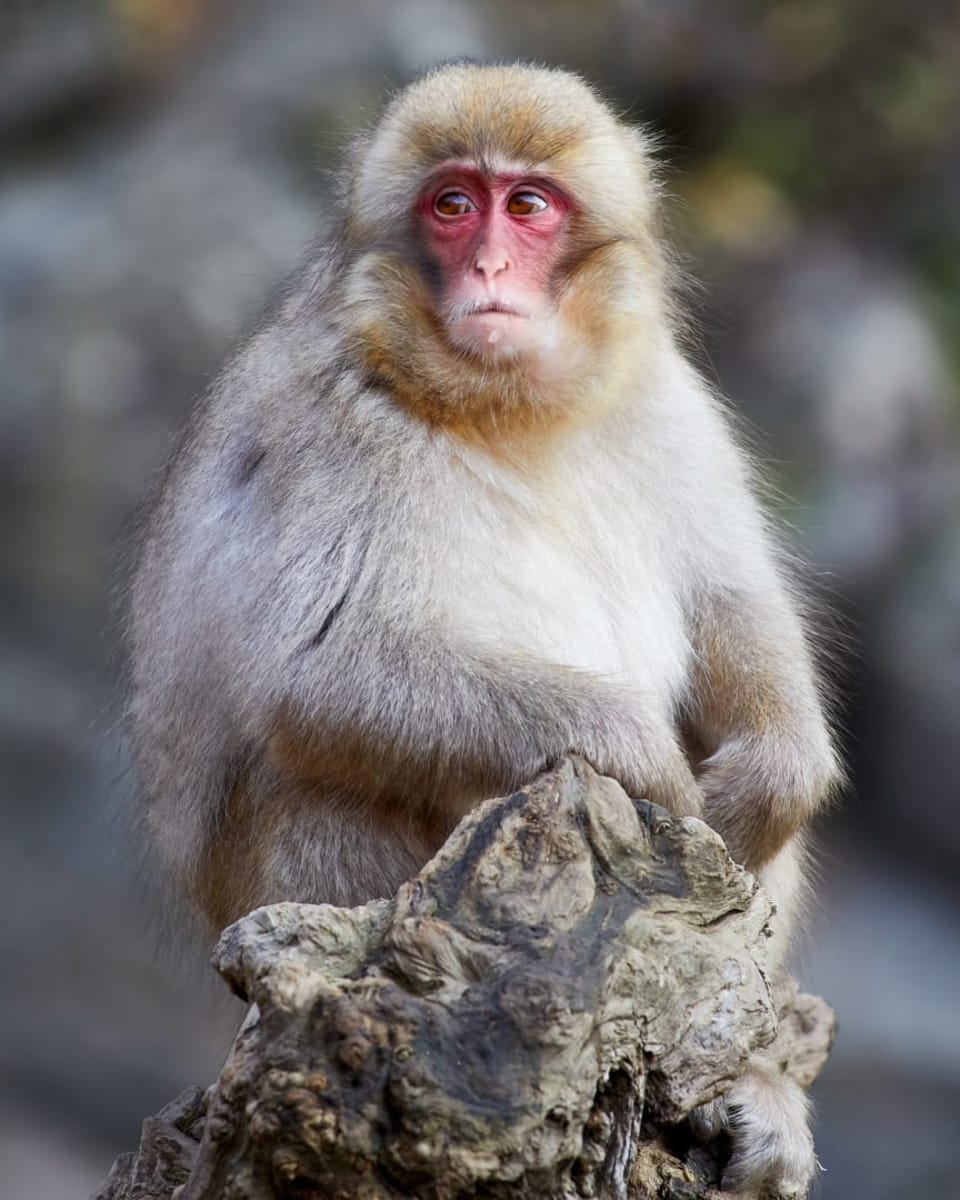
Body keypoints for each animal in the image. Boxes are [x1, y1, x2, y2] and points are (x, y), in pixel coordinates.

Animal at [128, 63, 840, 1198]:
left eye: (529, 206)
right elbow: (319, 672)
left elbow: (732, 601)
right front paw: (637, 754)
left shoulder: (666, 397)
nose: (492, 265)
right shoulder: (336, 421)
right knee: (318, 786)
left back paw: (747, 1082)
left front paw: (776, 769)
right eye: (453, 206)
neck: (509, 408)